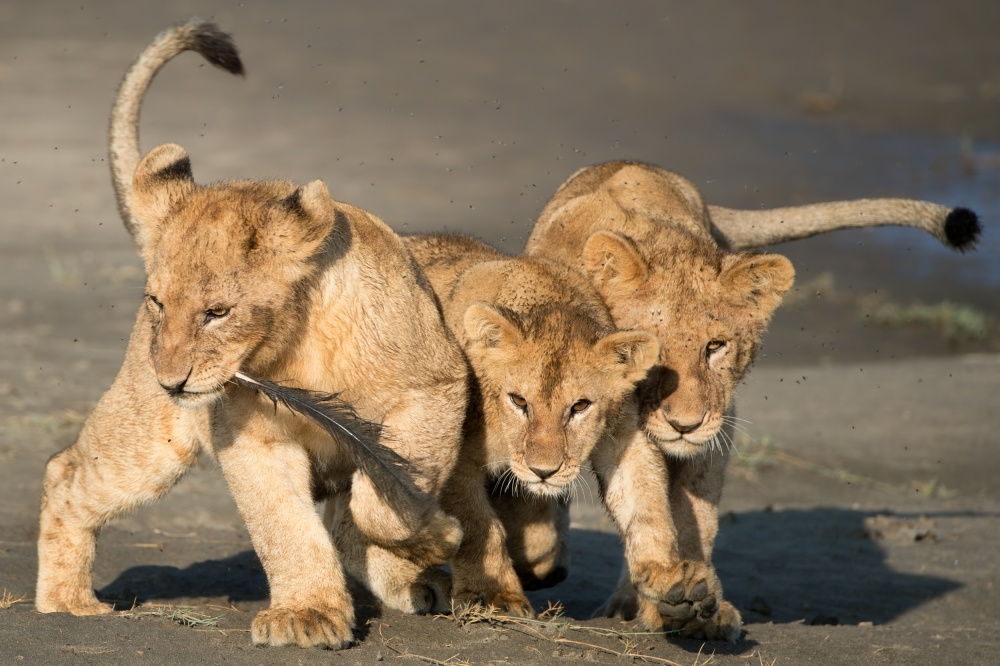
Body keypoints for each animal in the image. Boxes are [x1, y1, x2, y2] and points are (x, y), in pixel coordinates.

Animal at [36, 20, 468, 649]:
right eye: (158, 302)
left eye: (217, 312)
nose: (171, 382)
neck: (295, 352)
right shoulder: (250, 437)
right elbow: (284, 527)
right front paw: (307, 614)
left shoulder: (434, 389)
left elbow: (383, 504)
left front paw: (434, 538)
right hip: (151, 440)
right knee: (66, 472)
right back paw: (67, 603)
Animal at [402, 234, 715, 622]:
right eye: (519, 401)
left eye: (580, 407)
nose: (544, 472)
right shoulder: (453, 452)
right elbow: (477, 525)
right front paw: (493, 594)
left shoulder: (624, 436)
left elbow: (646, 505)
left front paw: (670, 577)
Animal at [523, 160, 981, 641]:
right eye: (652, 353)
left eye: (716, 347)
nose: (685, 424)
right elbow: (643, 499)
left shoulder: (715, 433)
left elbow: (689, 519)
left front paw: (694, 605)